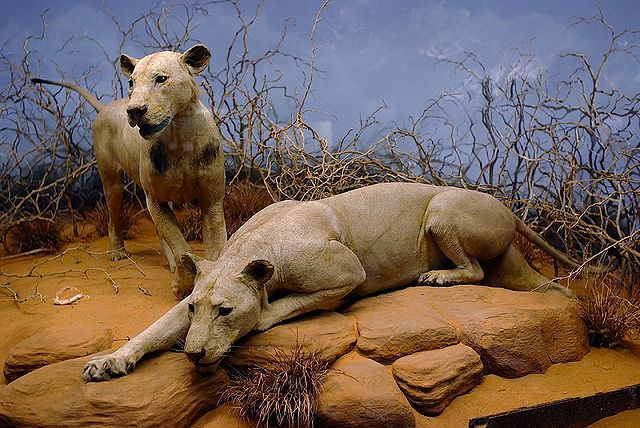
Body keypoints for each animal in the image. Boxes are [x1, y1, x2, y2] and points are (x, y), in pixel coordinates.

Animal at [34, 44, 228, 298]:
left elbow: (215, 248)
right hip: (112, 181)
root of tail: (106, 107)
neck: (179, 138)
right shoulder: (154, 200)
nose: (135, 111)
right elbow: (179, 244)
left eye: (161, 79)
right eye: (131, 83)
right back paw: (119, 253)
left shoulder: (212, 200)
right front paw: (183, 284)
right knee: (114, 219)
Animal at [84, 183, 580, 382]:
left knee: (475, 270)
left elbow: (284, 306)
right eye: (194, 309)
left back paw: (438, 275)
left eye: (226, 311)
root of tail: (508, 207)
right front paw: (110, 362)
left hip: (443, 210)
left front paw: (261, 316)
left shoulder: (347, 273)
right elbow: (152, 331)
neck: (251, 250)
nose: (193, 353)